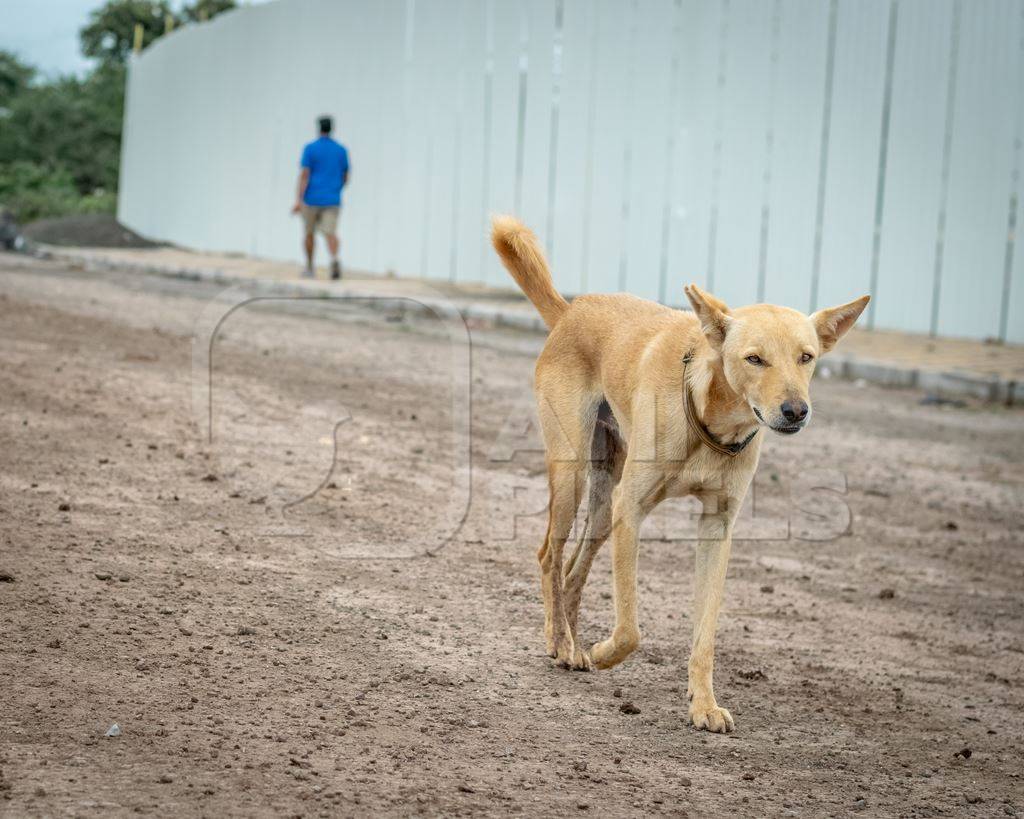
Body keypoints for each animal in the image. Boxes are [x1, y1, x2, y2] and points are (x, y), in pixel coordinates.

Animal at [491, 216, 868, 728]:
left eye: (806, 357)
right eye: (755, 358)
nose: (796, 411)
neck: (712, 424)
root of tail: (571, 310)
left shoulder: (717, 527)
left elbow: (705, 634)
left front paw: (703, 705)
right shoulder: (633, 509)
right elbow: (630, 629)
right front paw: (605, 652)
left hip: (605, 506)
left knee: (572, 570)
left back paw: (569, 641)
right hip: (573, 477)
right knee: (550, 555)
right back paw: (563, 643)